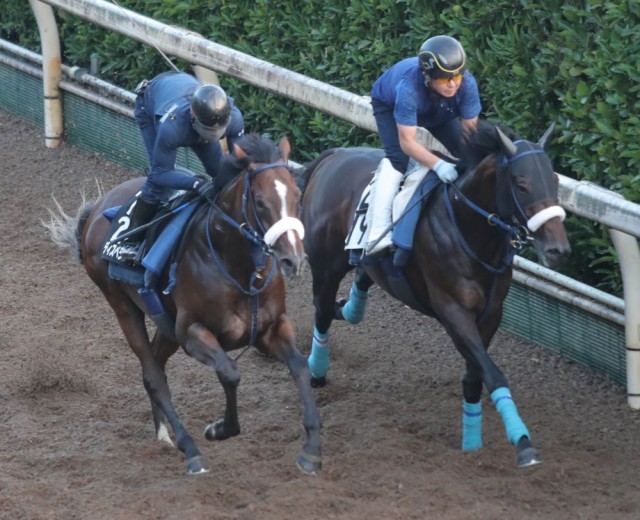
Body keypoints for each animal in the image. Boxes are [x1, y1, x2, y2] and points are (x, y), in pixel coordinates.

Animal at [47, 133, 322, 476]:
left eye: (298, 196)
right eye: (260, 202)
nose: (293, 260)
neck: (237, 266)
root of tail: (97, 209)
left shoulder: (272, 328)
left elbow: (300, 366)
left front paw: (311, 449)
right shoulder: (193, 333)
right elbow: (230, 373)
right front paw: (218, 430)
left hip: (165, 323)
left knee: (155, 365)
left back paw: (165, 434)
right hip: (123, 306)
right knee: (152, 373)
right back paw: (189, 448)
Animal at [300, 121, 568, 468]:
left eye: (555, 180)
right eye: (521, 184)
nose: (558, 249)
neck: (468, 230)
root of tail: (335, 155)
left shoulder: (491, 314)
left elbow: (476, 376)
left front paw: (471, 440)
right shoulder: (453, 311)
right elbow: (494, 374)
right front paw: (523, 441)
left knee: (359, 281)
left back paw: (347, 308)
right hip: (326, 266)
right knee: (321, 311)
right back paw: (316, 370)